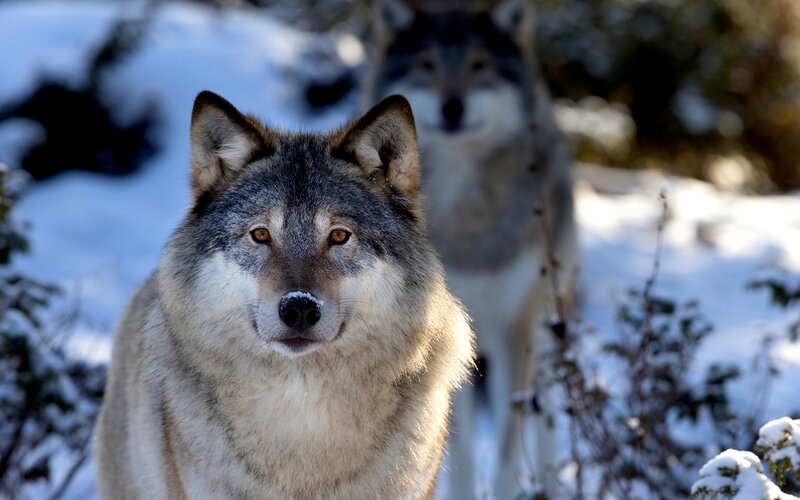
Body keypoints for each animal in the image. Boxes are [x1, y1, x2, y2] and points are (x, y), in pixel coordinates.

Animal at [362, 0, 579, 496]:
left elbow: (507, 447)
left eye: (480, 66)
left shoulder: (516, 330)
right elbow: (453, 448)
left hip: (546, 327)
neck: (467, 217)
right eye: (427, 65)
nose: (452, 106)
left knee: (546, 420)